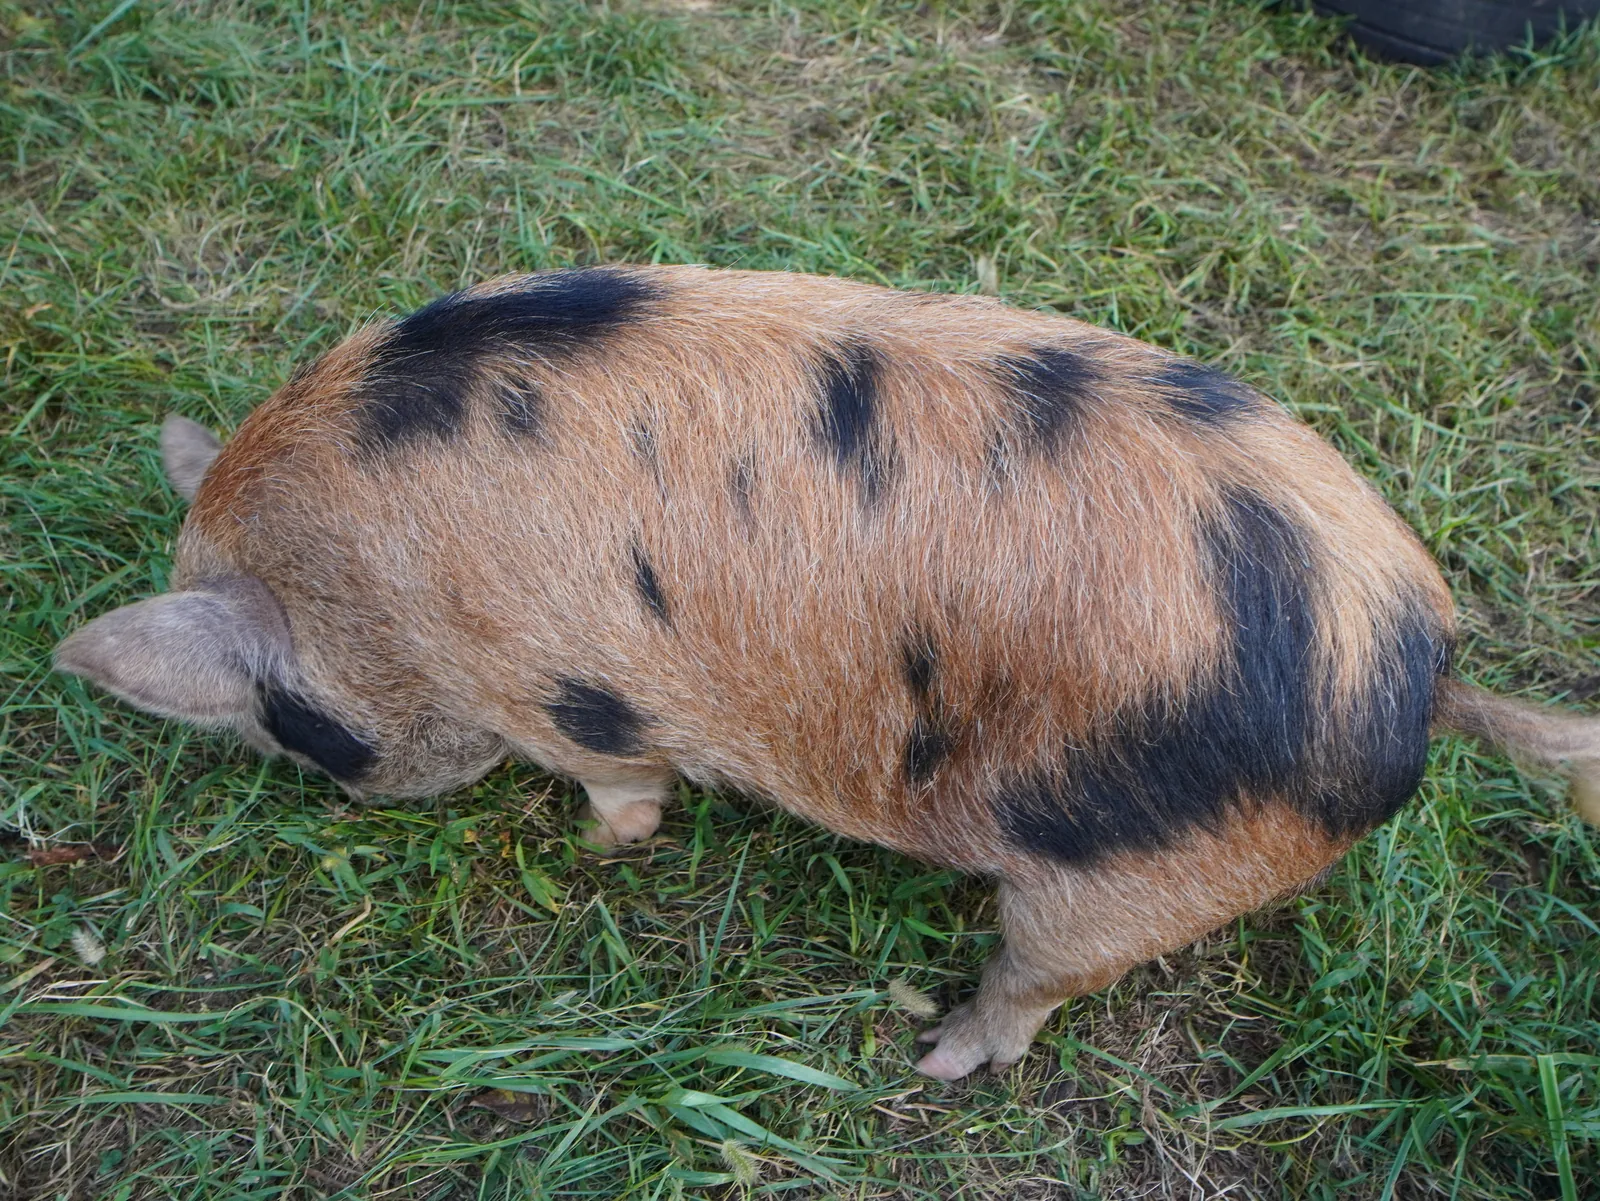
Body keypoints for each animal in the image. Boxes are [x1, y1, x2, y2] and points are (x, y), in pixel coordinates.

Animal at [54, 266, 1600, 1080]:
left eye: (285, 719)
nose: (320, 785)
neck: (369, 598)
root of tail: (1417, 669)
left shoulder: (568, 696)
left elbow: (624, 789)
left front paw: (606, 852)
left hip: (1132, 879)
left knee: (1040, 987)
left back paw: (934, 1055)